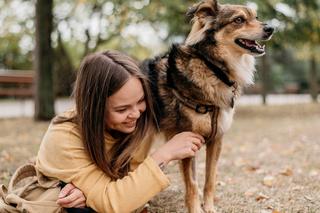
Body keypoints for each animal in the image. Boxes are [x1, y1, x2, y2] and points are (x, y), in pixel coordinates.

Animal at [142, 0, 272, 212]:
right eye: (238, 20)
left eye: (256, 17)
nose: (271, 28)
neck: (214, 68)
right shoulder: (187, 141)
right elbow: (192, 184)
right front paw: (195, 209)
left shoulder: (217, 139)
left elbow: (210, 178)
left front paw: (209, 207)